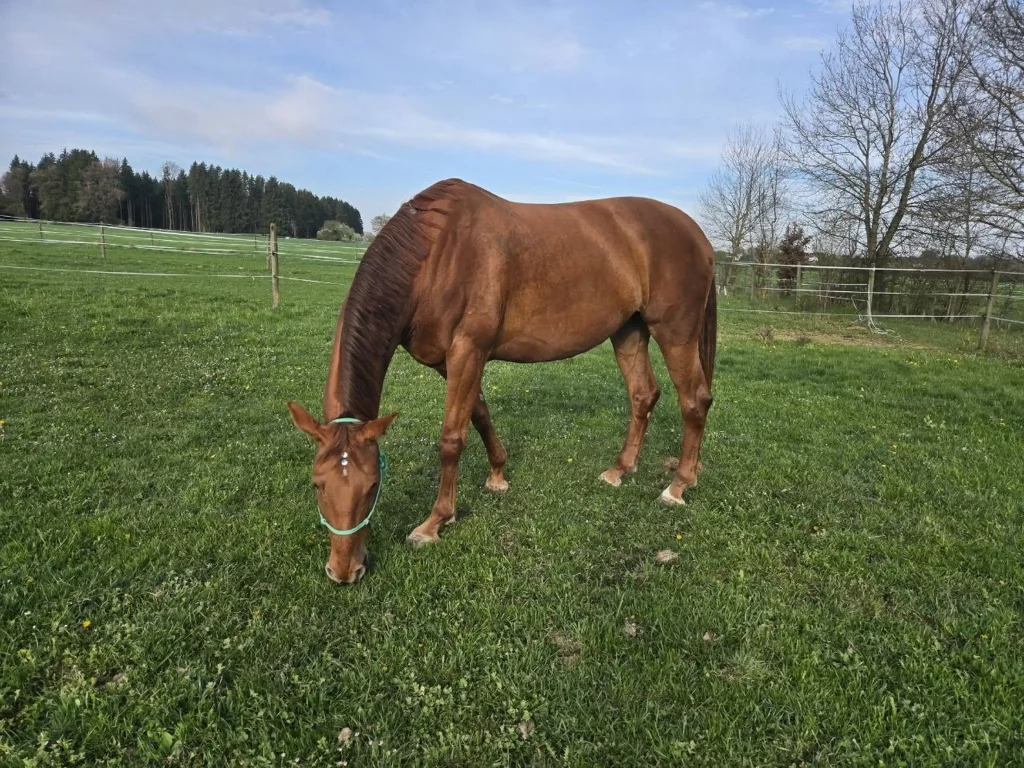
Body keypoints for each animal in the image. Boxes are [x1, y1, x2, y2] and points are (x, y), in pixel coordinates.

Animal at [287, 178, 717, 584]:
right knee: (643, 395)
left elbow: (451, 439)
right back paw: (620, 470)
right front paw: (497, 476)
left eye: (373, 485)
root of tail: (698, 235)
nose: (345, 571)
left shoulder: (468, 351)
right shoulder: (451, 361)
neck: (436, 255)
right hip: (629, 331)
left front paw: (434, 522)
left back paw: (677, 486)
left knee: (694, 400)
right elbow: (479, 414)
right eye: (316, 484)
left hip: (675, 332)